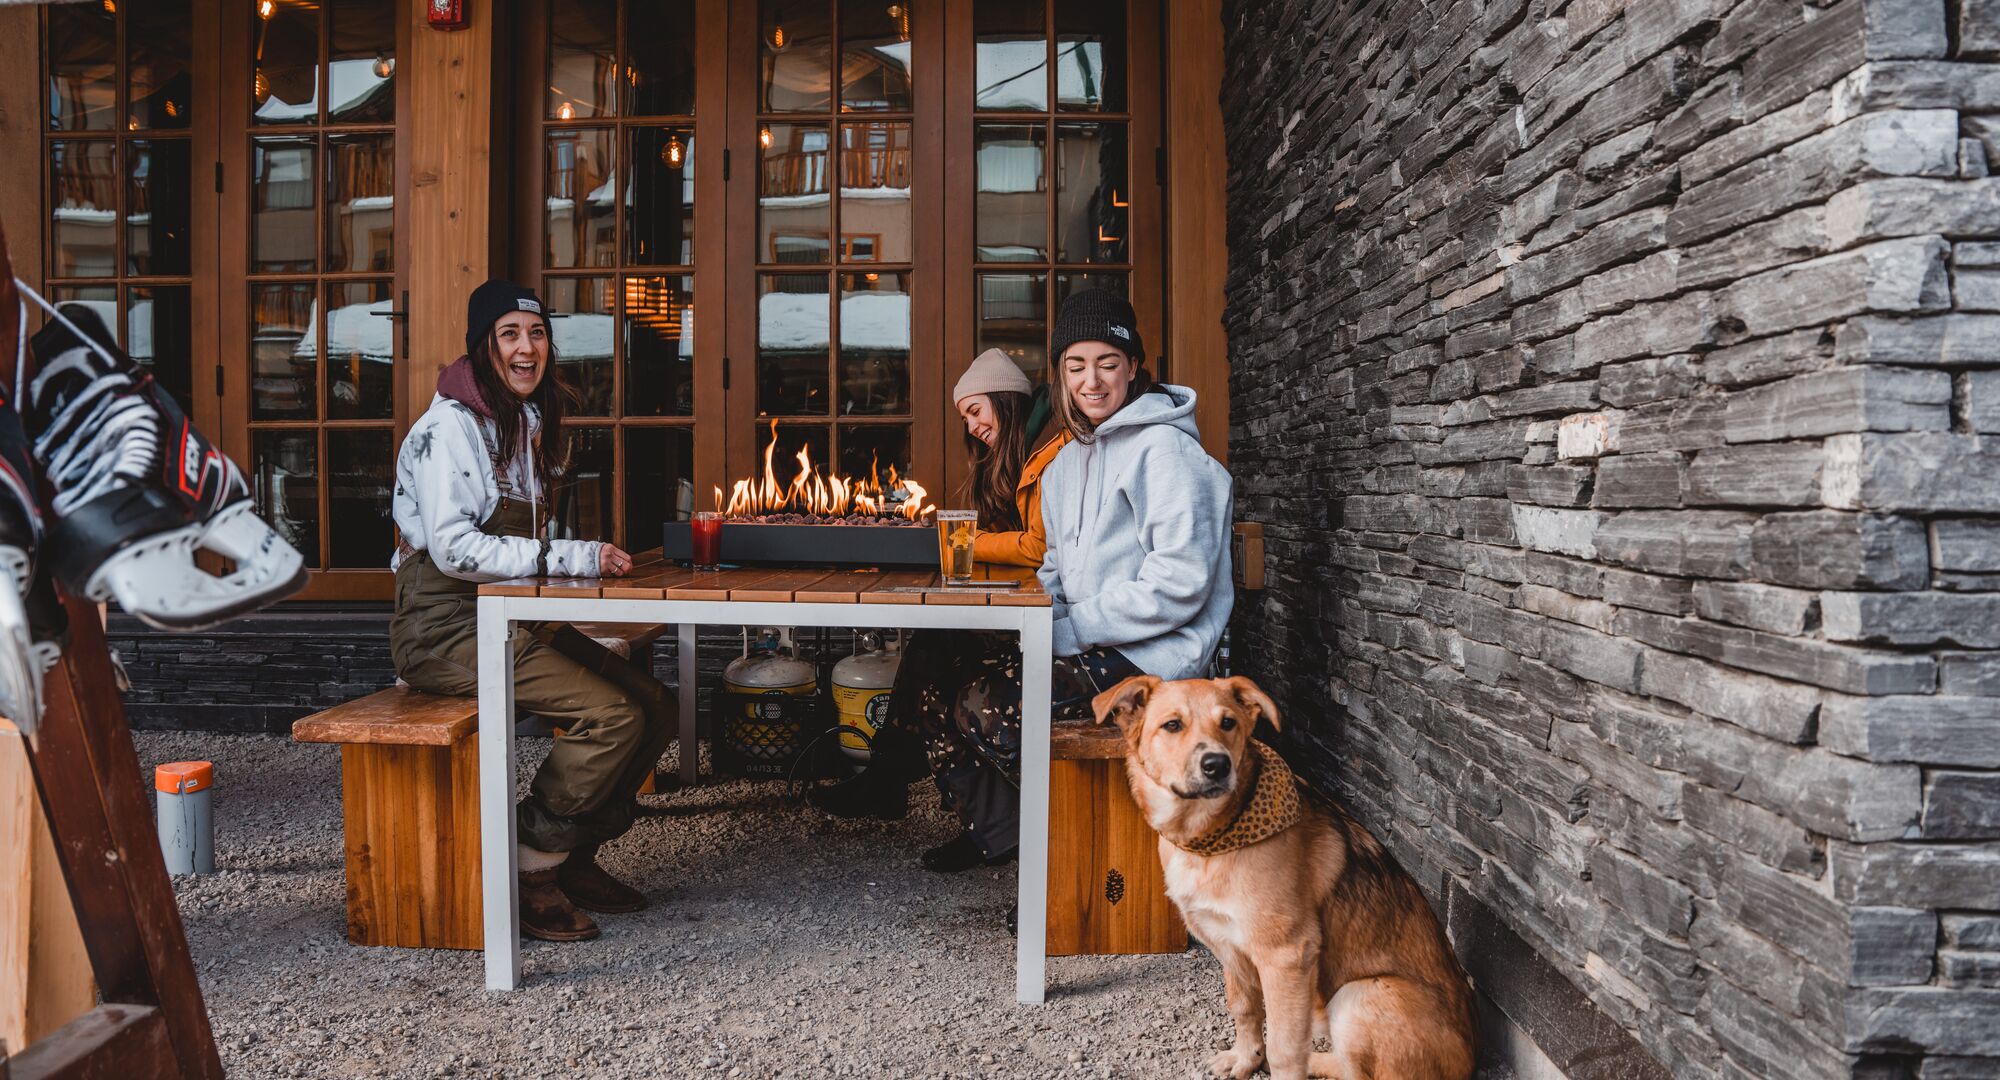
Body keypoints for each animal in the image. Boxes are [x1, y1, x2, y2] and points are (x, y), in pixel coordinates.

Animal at [1088, 676, 1480, 1080]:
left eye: (1228, 723)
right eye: (1172, 725)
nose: (1217, 765)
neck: (1212, 839)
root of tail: (1468, 1059)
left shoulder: (1286, 955)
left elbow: (1284, 1046)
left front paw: (1273, 1062)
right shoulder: (1229, 944)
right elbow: (1244, 1008)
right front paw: (1246, 1058)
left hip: (1360, 994)